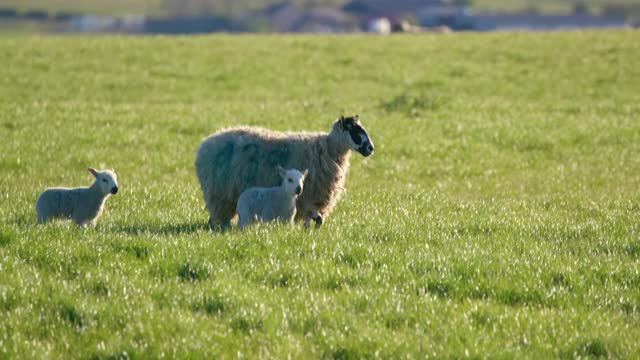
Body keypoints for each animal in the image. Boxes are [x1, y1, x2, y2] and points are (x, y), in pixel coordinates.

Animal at [195, 114, 376, 231]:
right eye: (353, 130)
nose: (370, 148)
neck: (328, 149)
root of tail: (204, 145)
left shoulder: (311, 200)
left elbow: (316, 220)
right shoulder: (306, 199)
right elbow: (315, 220)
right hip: (218, 195)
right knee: (219, 218)